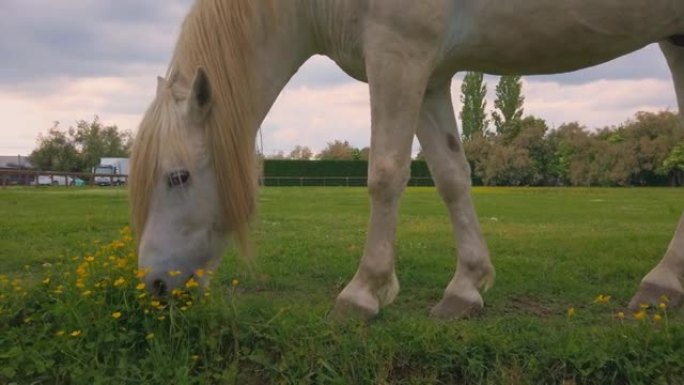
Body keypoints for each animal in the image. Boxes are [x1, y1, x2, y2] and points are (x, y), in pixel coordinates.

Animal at [130, 0, 684, 318]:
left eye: (177, 176)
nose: (152, 284)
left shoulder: (399, 53)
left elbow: (386, 173)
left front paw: (364, 292)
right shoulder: (430, 73)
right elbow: (450, 175)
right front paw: (466, 287)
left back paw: (660, 283)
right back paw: (664, 286)